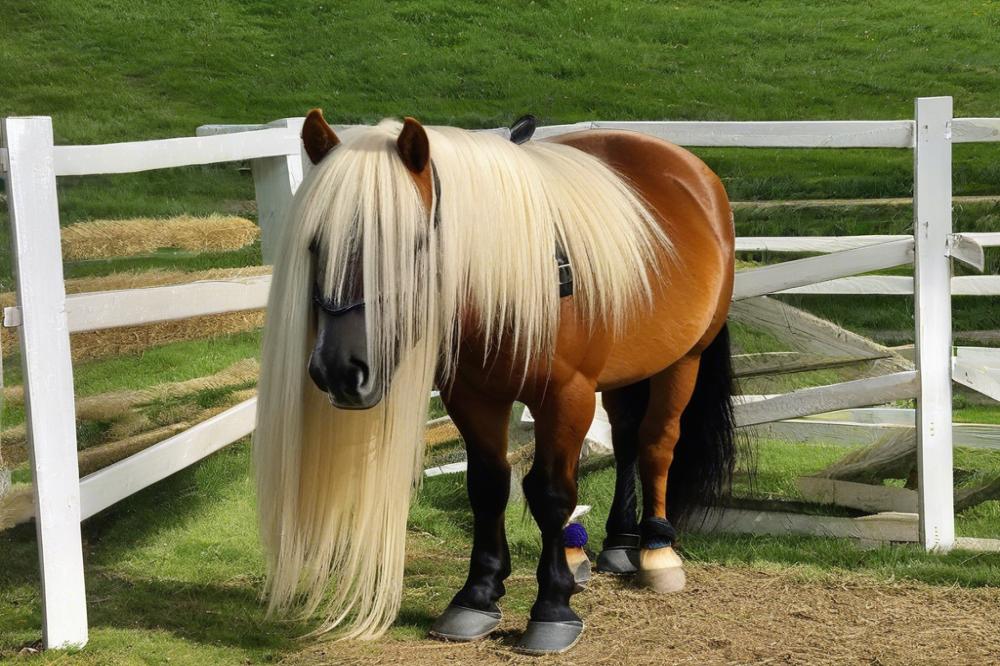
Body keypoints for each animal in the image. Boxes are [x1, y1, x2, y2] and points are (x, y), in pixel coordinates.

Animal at [250, 109, 736, 652]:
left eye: (409, 244)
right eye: (316, 243)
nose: (338, 370)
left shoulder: (565, 396)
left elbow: (550, 494)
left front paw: (553, 607)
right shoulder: (472, 396)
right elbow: (487, 487)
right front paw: (477, 596)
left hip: (684, 359)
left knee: (657, 443)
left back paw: (655, 547)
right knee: (628, 439)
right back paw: (619, 541)